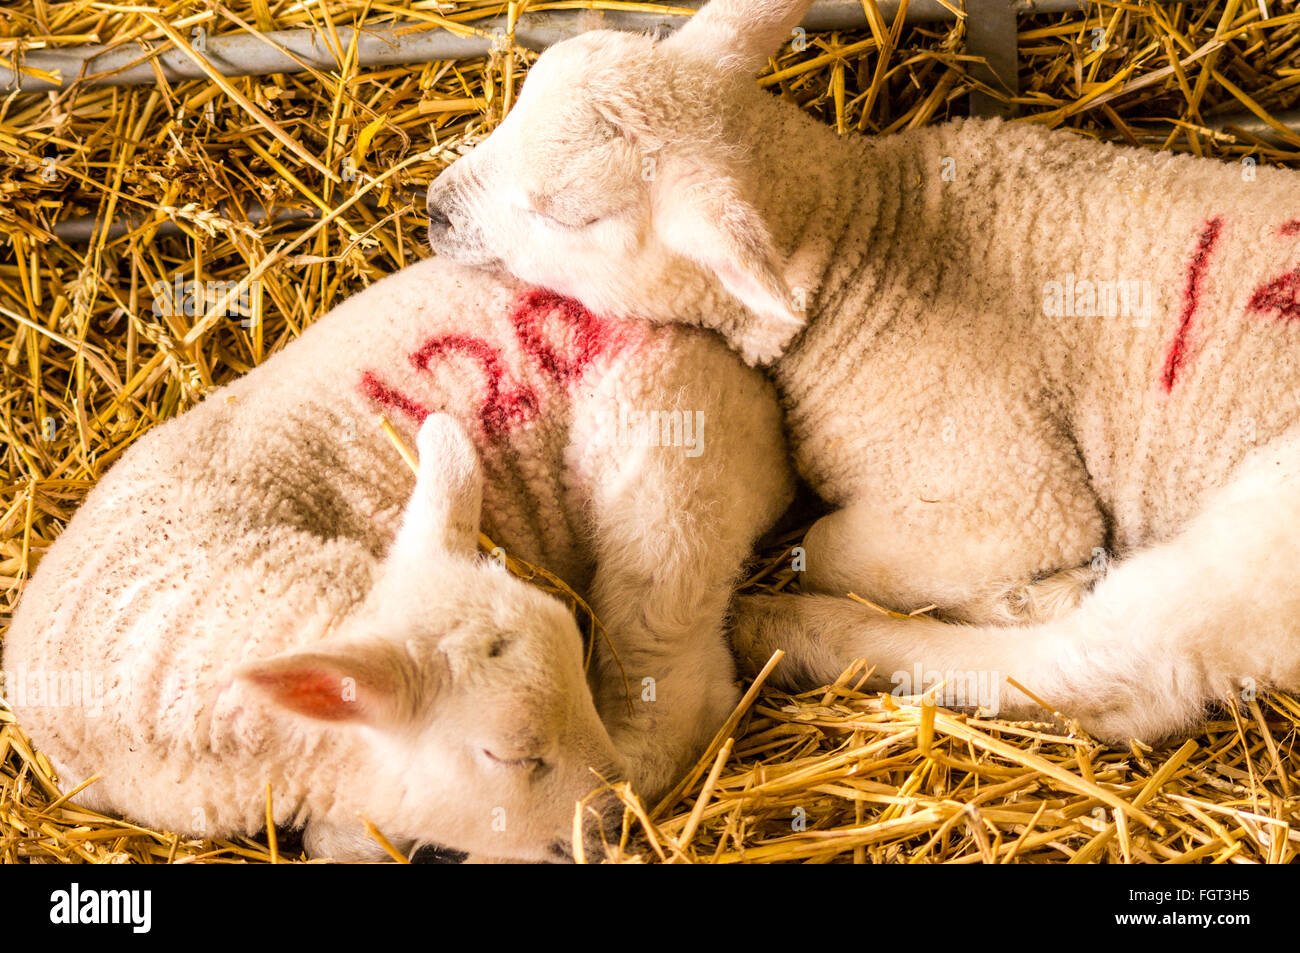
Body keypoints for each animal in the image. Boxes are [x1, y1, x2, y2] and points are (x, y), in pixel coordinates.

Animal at [424, 0, 1300, 743]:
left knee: (1104, 672)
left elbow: (827, 544)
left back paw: (796, 627)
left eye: (571, 214)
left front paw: (1014, 590)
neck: (867, 238)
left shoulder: (1017, 496)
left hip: (1262, 525)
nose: (433, 208)